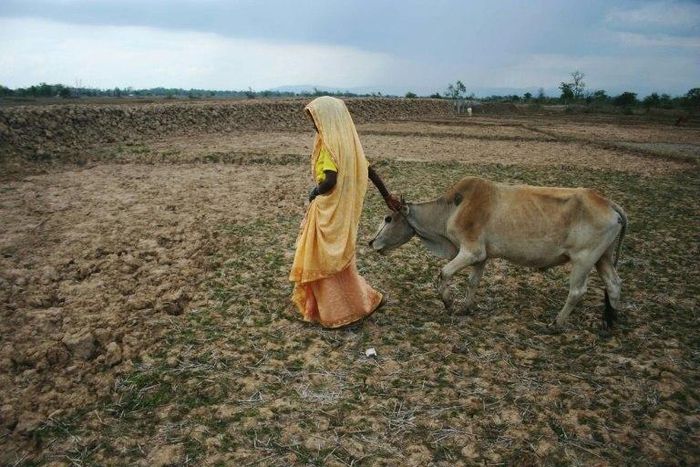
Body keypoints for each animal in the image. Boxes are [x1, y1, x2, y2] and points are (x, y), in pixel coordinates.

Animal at [369, 176, 627, 330]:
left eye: (388, 218)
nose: (371, 242)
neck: (452, 209)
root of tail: (609, 204)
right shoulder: (481, 257)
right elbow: (473, 282)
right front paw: (465, 307)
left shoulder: (470, 251)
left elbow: (444, 273)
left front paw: (449, 303)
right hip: (603, 258)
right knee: (614, 284)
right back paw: (609, 323)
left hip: (584, 259)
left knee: (577, 291)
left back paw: (557, 323)